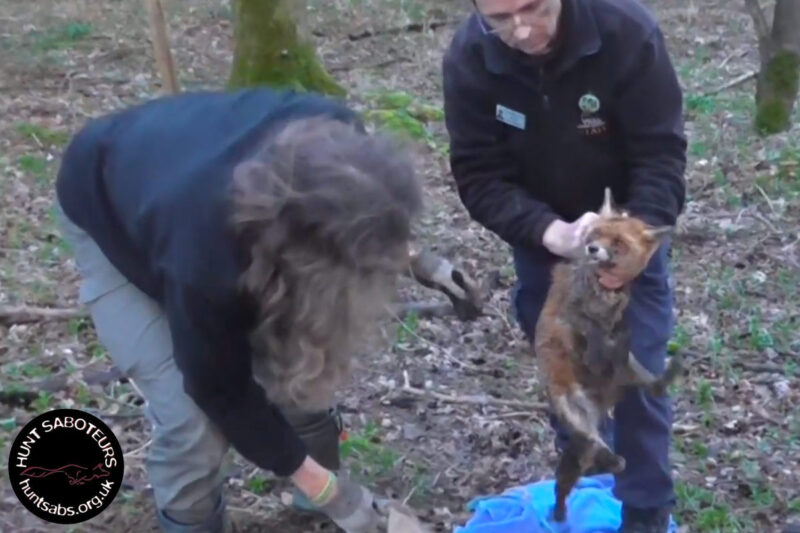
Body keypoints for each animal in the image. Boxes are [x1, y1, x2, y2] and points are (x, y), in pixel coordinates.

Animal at [536, 189, 684, 520]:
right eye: (594, 234)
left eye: (618, 243)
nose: (591, 248)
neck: (601, 288)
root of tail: (600, 400)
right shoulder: (572, 313)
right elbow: (584, 325)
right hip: (573, 407)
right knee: (594, 446)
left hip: (631, 369)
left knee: (653, 387)